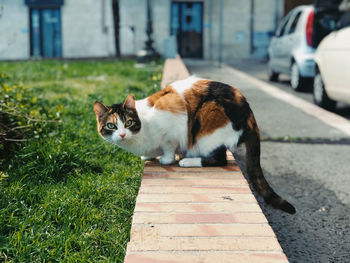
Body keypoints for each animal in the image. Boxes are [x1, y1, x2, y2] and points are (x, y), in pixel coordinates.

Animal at [93, 76, 296, 214]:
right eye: (111, 126)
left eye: (128, 123)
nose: (121, 134)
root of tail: (248, 111)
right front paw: (149, 155)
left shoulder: (173, 122)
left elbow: (168, 146)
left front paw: (166, 159)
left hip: (208, 125)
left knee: (219, 159)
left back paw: (188, 161)